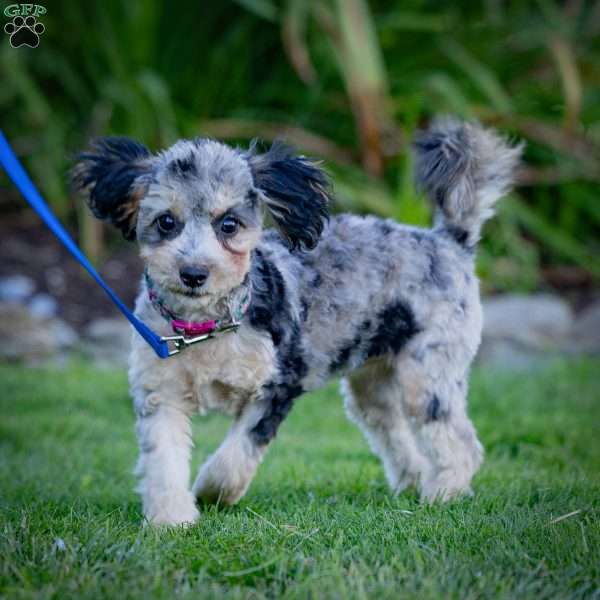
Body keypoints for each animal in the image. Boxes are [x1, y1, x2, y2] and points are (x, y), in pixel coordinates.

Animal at [71, 120, 520, 524]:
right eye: (166, 221)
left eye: (229, 224)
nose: (194, 273)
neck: (207, 331)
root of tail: (449, 241)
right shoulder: (160, 394)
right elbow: (164, 463)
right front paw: (171, 521)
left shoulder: (277, 385)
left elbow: (234, 456)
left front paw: (211, 492)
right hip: (372, 384)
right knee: (393, 430)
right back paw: (414, 483)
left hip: (428, 372)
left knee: (459, 439)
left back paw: (444, 492)